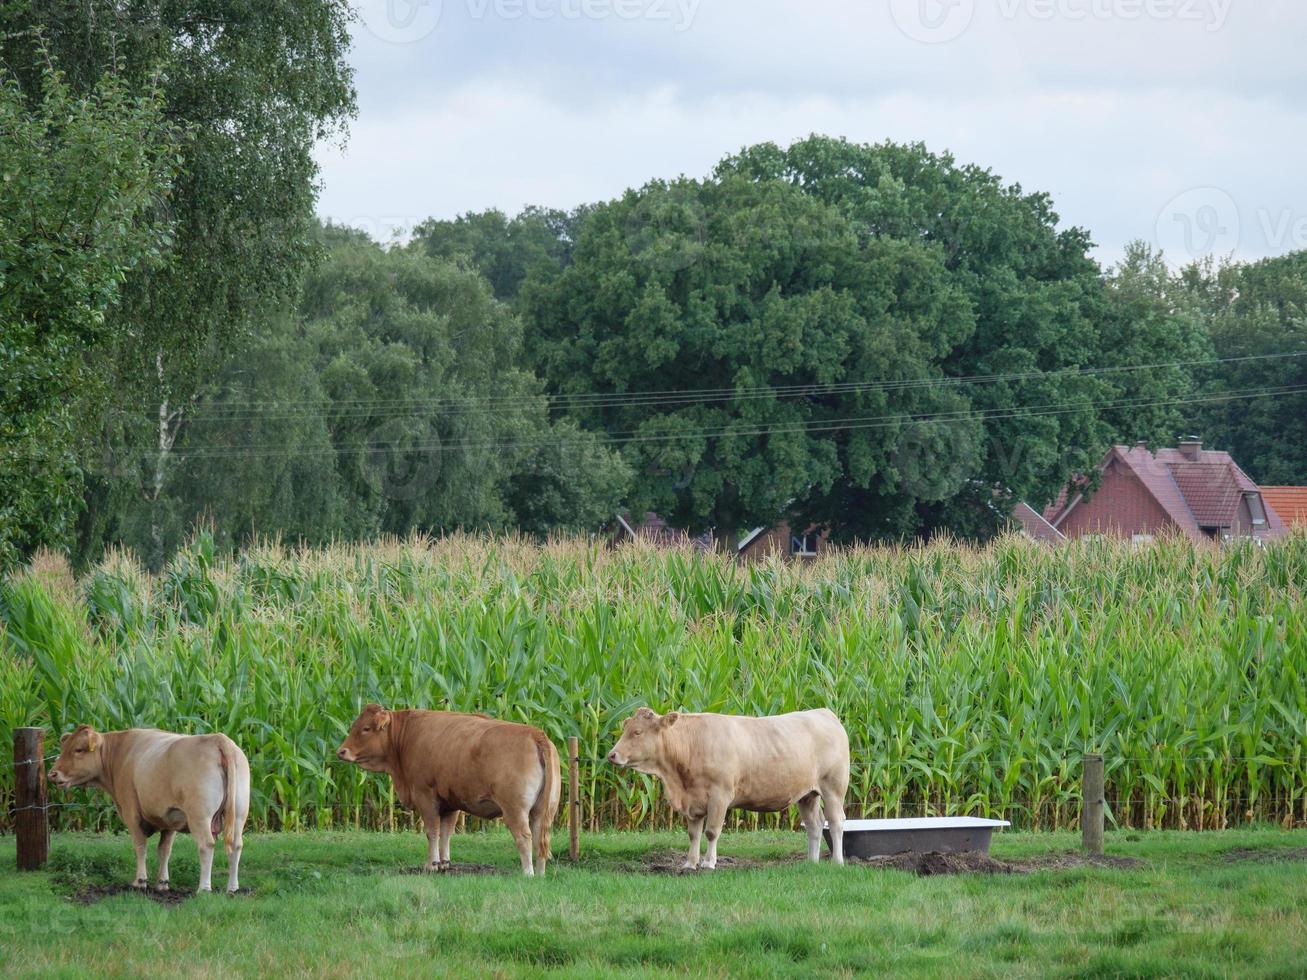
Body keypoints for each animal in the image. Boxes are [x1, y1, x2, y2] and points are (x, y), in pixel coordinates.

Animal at [48, 726, 249, 893]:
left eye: (78, 749)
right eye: (64, 748)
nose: (52, 773)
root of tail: (218, 739)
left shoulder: (131, 812)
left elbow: (140, 846)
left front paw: (140, 881)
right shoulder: (172, 817)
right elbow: (164, 850)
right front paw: (162, 883)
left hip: (200, 816)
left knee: (207, 845)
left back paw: (204, 888)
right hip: (239, 814)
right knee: (236, 845)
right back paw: (233, 887)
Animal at [334, 710, 559, 878]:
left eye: (366, 728)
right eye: (354, 725)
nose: (341, 751)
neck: (406, 736)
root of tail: (535, 734)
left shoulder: (425, 796)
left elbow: (432, 831)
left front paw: (431, 864)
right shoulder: (451, 803)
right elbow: (446, 833)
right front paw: (444, 863)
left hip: (514, 810)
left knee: (524, 837)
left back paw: (528, 873)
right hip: (543, 811)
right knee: (540, 837)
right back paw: (540, 873)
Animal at [603, 710, 846, 872]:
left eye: (637, 732)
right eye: (625, 728)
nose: (612, 755)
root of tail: (824, 712)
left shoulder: (719, 796)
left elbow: (711, 831)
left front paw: (708, 863)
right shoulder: (693, 800)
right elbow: (693, 834)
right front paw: (690, 863)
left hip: (833, 788)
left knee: (835, 822)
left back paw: (837, 861)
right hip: (807, 795)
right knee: (814, 825)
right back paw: (811, 862)